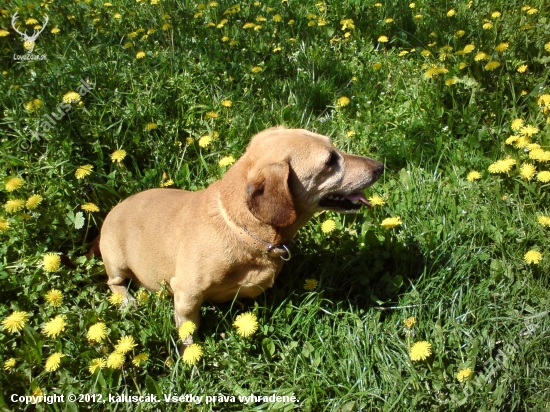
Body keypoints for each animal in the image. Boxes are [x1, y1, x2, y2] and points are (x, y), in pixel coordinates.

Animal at [99, 127, 384, 336]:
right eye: (329, 162)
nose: (380, 166)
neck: (243, 232)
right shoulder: (186, 294)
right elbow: (189, 331)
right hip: (116, 262)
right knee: (114, 283)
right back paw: (127, 301)